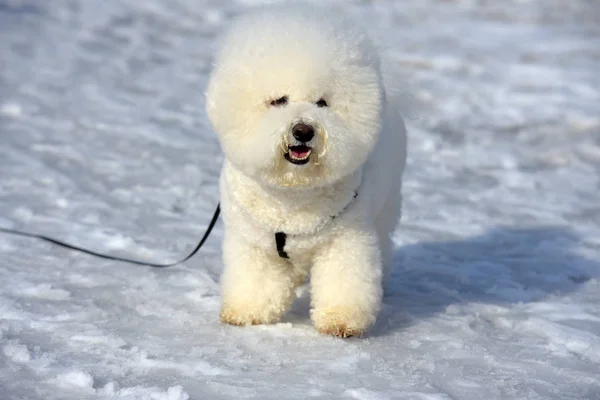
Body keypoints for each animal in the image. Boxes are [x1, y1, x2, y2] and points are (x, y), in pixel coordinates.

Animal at [206, 6, 408, 338]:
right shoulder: (253, 244)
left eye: (322, 103)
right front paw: (247, 311)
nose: (303, 131)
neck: (292, 194)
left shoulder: (346, 239)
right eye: (279, 100)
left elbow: (345, 281)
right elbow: (256, 282)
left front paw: (342, 321)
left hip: (385, 208)